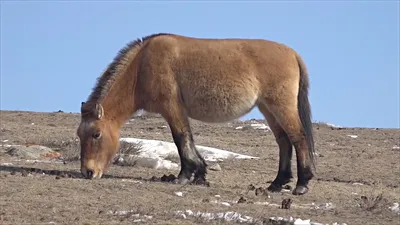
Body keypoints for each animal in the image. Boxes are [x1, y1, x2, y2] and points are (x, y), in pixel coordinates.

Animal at [76, 33, 316, 195]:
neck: (143, 65)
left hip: (281, 106)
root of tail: (293, 54)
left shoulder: (172, 107)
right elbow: (186, 139)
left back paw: (302, 184)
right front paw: (199, 174)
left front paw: (185, 175)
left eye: (96, 134)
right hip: (268, 108)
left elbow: (181, 138)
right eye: (80, 135)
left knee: (298, 138)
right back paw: (277, 183)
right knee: (284, 141)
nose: (88, 172)